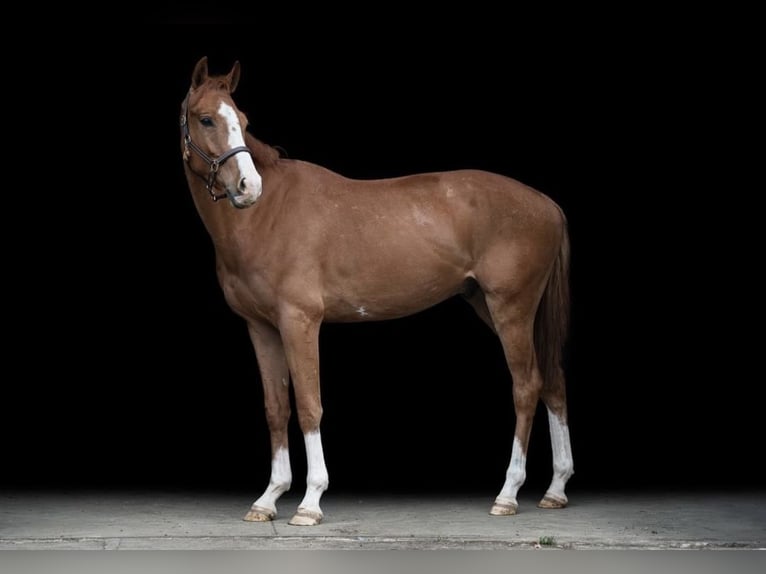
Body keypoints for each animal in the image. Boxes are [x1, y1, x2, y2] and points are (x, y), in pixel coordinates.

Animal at [182, 57, 576, 528]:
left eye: (242, 122)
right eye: (206, 119)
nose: (248, 187)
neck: (266, 216)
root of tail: (547, 203)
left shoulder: (300, 322)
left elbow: (310, 405)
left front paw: (310, 502)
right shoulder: (261, 327)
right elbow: (277, 408)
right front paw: (268, 498)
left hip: (511, 309)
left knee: (527, 386)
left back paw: (508, 493)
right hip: (494, 306)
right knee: (553, 382)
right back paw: (555, 489)